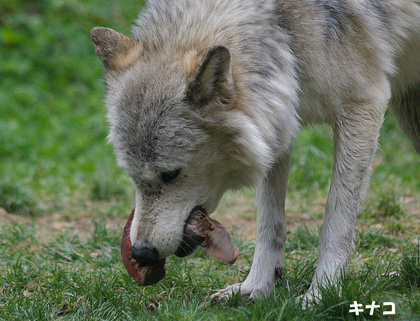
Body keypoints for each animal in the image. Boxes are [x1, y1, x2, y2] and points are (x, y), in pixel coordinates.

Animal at [91, 0, 420, 304]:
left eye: (170, 174)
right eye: (132, 176)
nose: (141, 253)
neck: (284, 29)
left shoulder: (362, 106)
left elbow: (336, 220)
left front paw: (321, 295)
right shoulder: (276, 122)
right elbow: (269, 222)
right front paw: (256, 287)